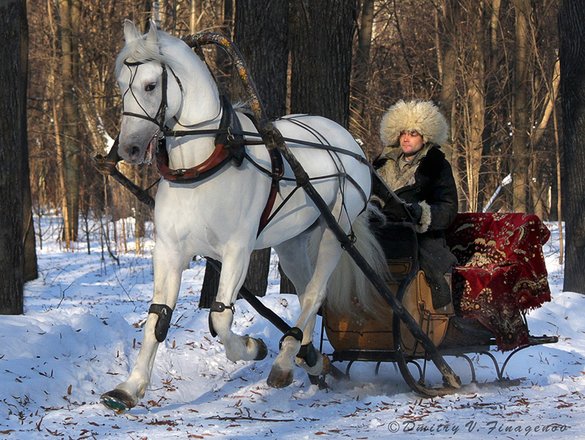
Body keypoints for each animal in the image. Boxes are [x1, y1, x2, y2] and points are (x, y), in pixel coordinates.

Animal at [100, 20, 388, 412]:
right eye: (120, 86)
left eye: (150, 85)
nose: (129, 148)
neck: (202, 165)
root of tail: (346, 139)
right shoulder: (169, 249)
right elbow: (157, 318)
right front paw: (129, 388)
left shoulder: (237, 249)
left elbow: (220, 317)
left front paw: (252, 348)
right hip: (291, 242)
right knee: (307, 294)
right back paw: (309, 359)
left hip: (336, 230)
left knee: (315, 293)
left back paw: (284, 361)